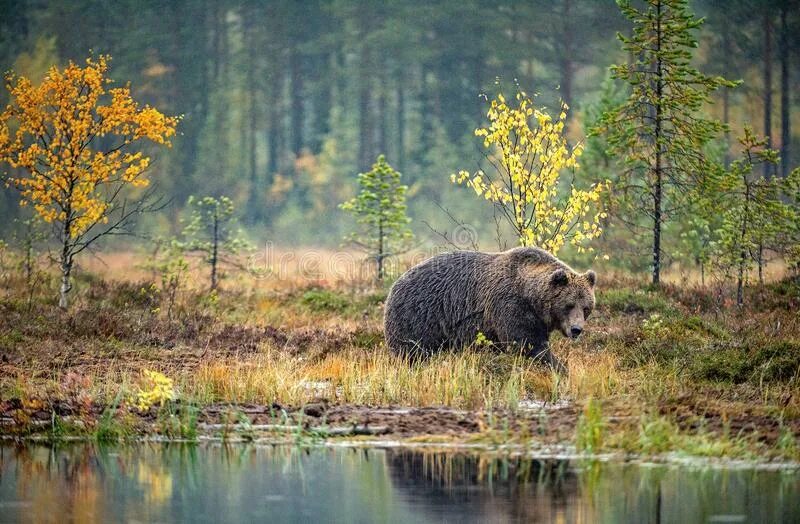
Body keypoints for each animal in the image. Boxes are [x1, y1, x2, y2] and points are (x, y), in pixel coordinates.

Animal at [384, 247, 596, 372]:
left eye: (586, 307)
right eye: (568, 305)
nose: (576, 329)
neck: (531, 297)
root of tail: (395, 283)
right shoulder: (509, 306)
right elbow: (526, 344)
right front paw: (559, 368)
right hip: (419, 316)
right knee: (412, 351)